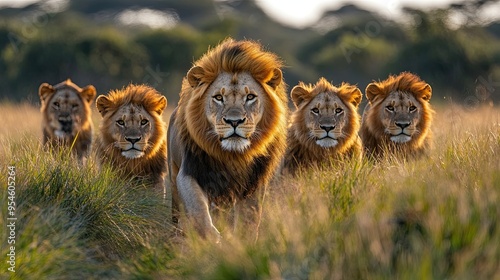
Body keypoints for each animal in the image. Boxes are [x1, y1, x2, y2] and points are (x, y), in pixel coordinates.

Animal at [167, 38, 288, 242]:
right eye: (218, 97)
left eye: (250, 97)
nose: (234, 121)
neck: (232, 156)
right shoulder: (189, 172)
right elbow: (199, 213)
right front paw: (213, 239)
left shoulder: (254, 184)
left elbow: (250, 219)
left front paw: (243, 242)